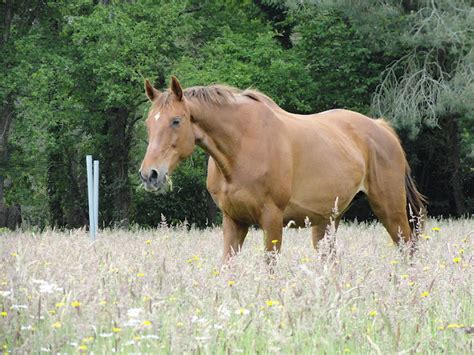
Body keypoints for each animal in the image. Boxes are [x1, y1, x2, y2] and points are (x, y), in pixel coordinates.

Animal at [140, 76, 426, 262]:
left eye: (176, 121)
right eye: (148, 123)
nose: (149, 175)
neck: (241, 146)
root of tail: (381, 128)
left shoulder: (272, 219)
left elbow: (270, 266)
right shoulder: (233, 220)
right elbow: (227, 266)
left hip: (390, 209)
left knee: (408, 249)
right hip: (328, 219)